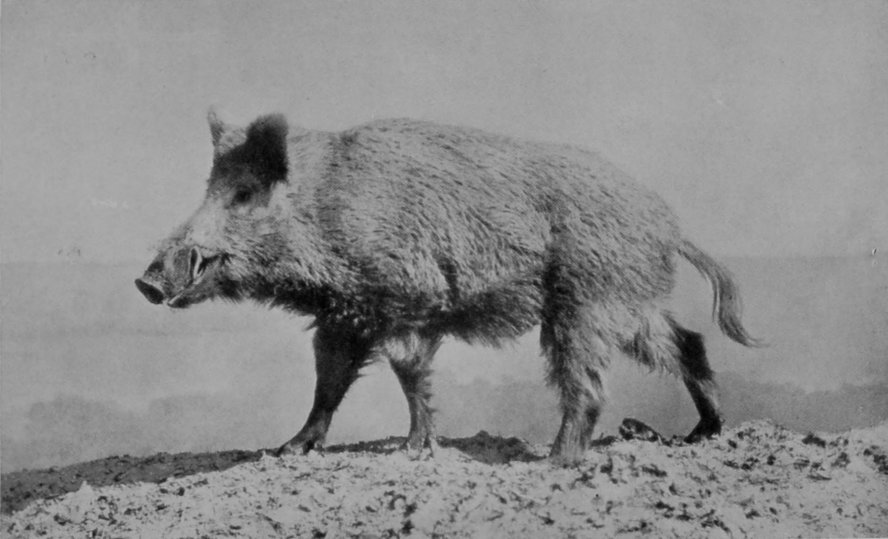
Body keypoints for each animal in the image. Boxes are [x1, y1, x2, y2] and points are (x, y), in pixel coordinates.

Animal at [135, 109, 758, 463]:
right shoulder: (346, 315)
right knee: (688, 342)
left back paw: (554, 463)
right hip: (631, 303)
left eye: (243, 194)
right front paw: (290, 450)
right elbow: (328, 383)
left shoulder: (406, 298)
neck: (329, 211)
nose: (146, 280)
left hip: (587, 301)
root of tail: (670, 226)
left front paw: (415, 449)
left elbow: (408, 373)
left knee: (588, 385)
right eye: (210, 188)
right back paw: (703, 433)